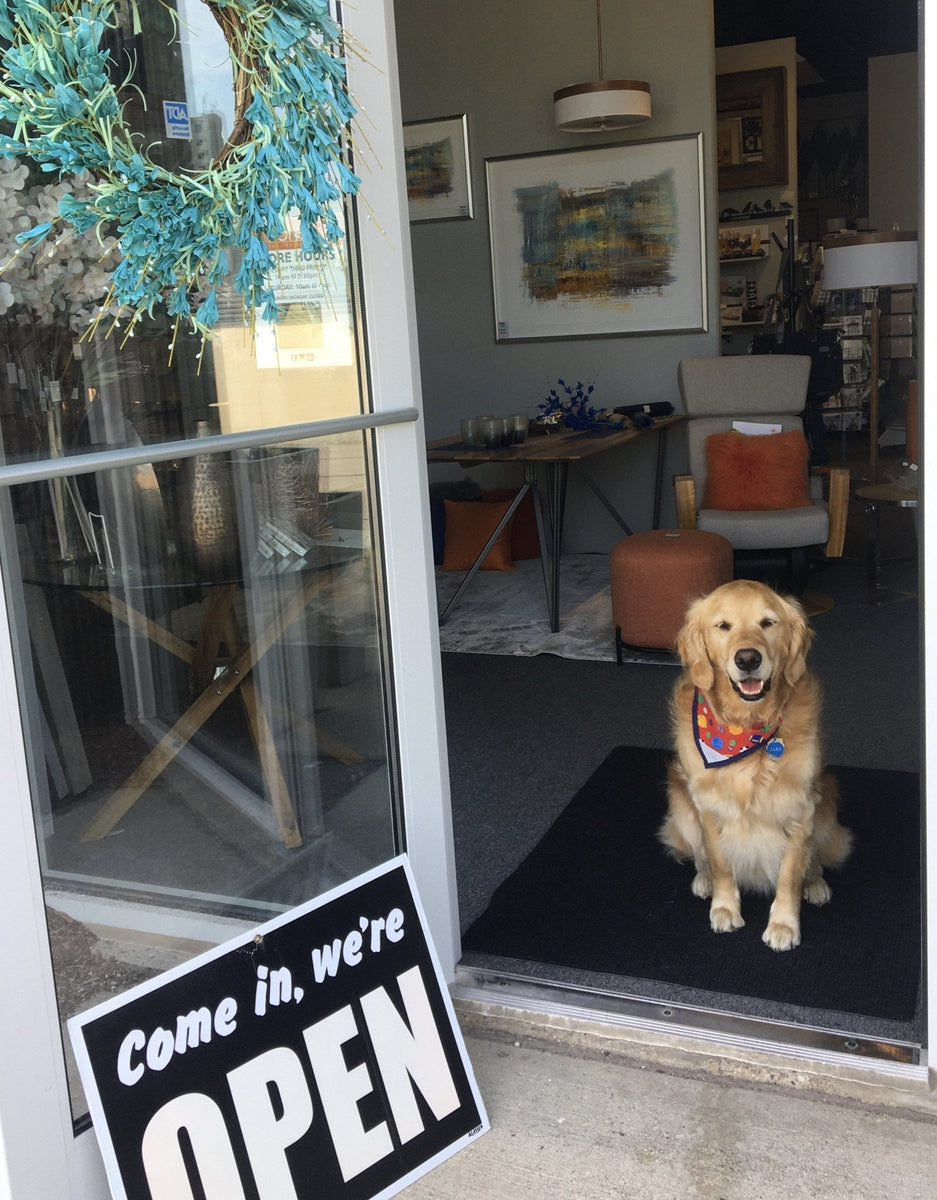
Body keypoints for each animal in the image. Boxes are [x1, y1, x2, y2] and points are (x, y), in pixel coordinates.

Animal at [657, 576, 849, 950]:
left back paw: (816, 884)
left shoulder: (801, 807)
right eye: (723, 626)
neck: (744, 727)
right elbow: (719, 862)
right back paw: (703, 880)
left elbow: (790, 874)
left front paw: (784, 925)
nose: (748, 658)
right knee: (699, 855)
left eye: (767, 623)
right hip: (680, 803)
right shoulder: (708, 807)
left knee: (815, 861)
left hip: (826, 806)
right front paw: (724, 907)